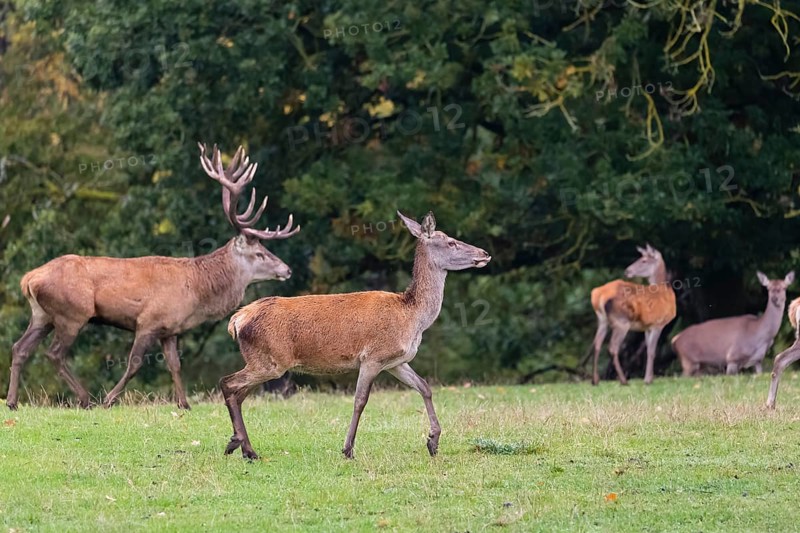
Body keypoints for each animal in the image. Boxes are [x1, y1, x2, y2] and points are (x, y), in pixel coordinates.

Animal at [6, 143, 299, 411]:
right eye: (260, 253)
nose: (287, 269)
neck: (198, 291)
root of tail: (28, 279)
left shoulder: (169, 329)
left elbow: (175, 364)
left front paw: (184, 404)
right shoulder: (148, 321)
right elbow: (134, 364)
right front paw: (109, 399)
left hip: (42, 315)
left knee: (20, 347)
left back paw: (12, 401)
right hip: (73, 313)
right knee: (54, 353)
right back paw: (85, 398)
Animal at [220, 211, 491, 460]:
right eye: (451, 242)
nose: (485, 253)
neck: (412, 318)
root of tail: (236, 320)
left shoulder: (396, 362)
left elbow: (425, 387)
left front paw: (433, 441)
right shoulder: (372, 357)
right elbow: (360, 400)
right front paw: (348, 449)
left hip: (263, 361)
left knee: (239, 393)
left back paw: (243, 447)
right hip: (271, 361)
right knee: (228, 383)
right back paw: (241, 445)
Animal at [590, 244, 676, 386]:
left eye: (644, 261)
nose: (627, 271)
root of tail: (600, 294)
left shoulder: (647, 327)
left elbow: (647, 350)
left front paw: (649, 378)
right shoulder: (658, 323)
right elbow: (652, 351)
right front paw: (648, 380)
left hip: (602, 320)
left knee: (597, 344)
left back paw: (595, 380)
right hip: (621, 321)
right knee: (612, 347)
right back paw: (623, 380)